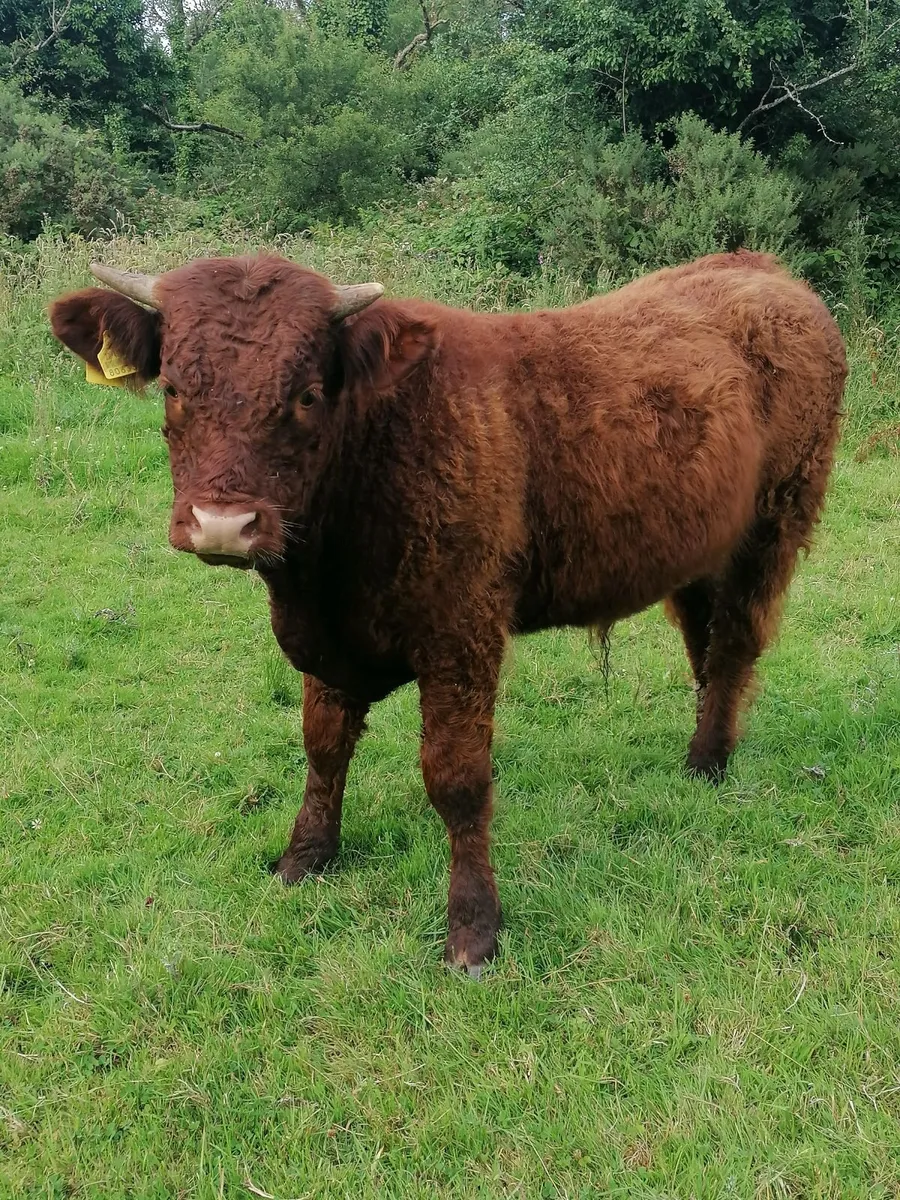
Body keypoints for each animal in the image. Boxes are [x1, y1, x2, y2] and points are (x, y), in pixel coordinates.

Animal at [48, 250, 847, 974]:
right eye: (174, 388)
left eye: (307, 394)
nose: (223, 525)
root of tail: (762, 269)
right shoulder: (326, 640)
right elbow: (322, 747)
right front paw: (305, 856)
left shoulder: (463, 634)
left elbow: (456, 781)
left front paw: (474, 928)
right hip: (699, 548)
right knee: (704, 644)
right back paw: (707, 750)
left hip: (774, 523)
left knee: (735, 643)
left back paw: (709, 762)